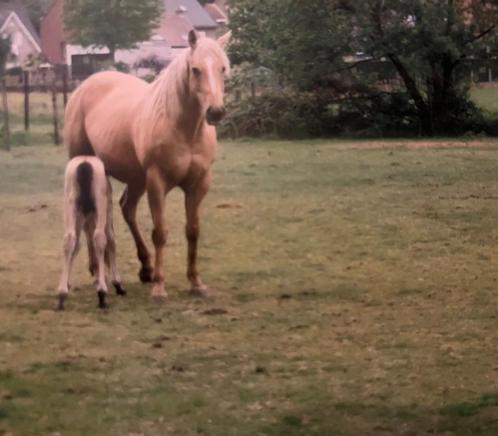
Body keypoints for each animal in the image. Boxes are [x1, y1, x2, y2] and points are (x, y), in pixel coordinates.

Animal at [57, 157, 125, 310]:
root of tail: (84, 163)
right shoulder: (107, 211)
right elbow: (111, 241)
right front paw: (117, 284)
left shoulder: (83, 217)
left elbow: (76, 245)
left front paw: (67, 284)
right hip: (100, 207)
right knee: (100, 238)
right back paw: (102, 294)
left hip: (71, 206)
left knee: (69, 240)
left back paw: (61, 295)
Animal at [62, 32, 231, 300]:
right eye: (196, 69)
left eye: (222, 68)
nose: (215, 112)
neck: (184, 129)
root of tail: (84, 86)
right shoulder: (157, 181)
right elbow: (160, 232)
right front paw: (160, 288)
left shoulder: (198, 184)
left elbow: (193, 230)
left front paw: (196, 283)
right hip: (88, 168)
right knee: (91, 220)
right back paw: (97, 272)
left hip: (134, 179)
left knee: (126, 208)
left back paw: (144, 268)